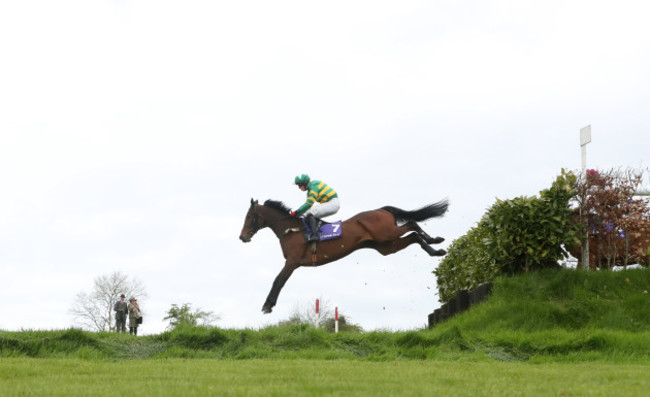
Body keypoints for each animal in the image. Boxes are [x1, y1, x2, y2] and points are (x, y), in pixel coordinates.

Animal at [238, 198, 446, 312]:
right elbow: (278, 281)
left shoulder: (292, 262)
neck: (292, 230)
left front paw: (267, 305)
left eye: (249, 217)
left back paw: (434, 240)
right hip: (386, 246)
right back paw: (435, 249)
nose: (242, 237)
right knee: (413, 236)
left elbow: (278, 281)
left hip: (386, 234)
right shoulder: (292, 262)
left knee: (412, 224)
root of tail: (382, 209)